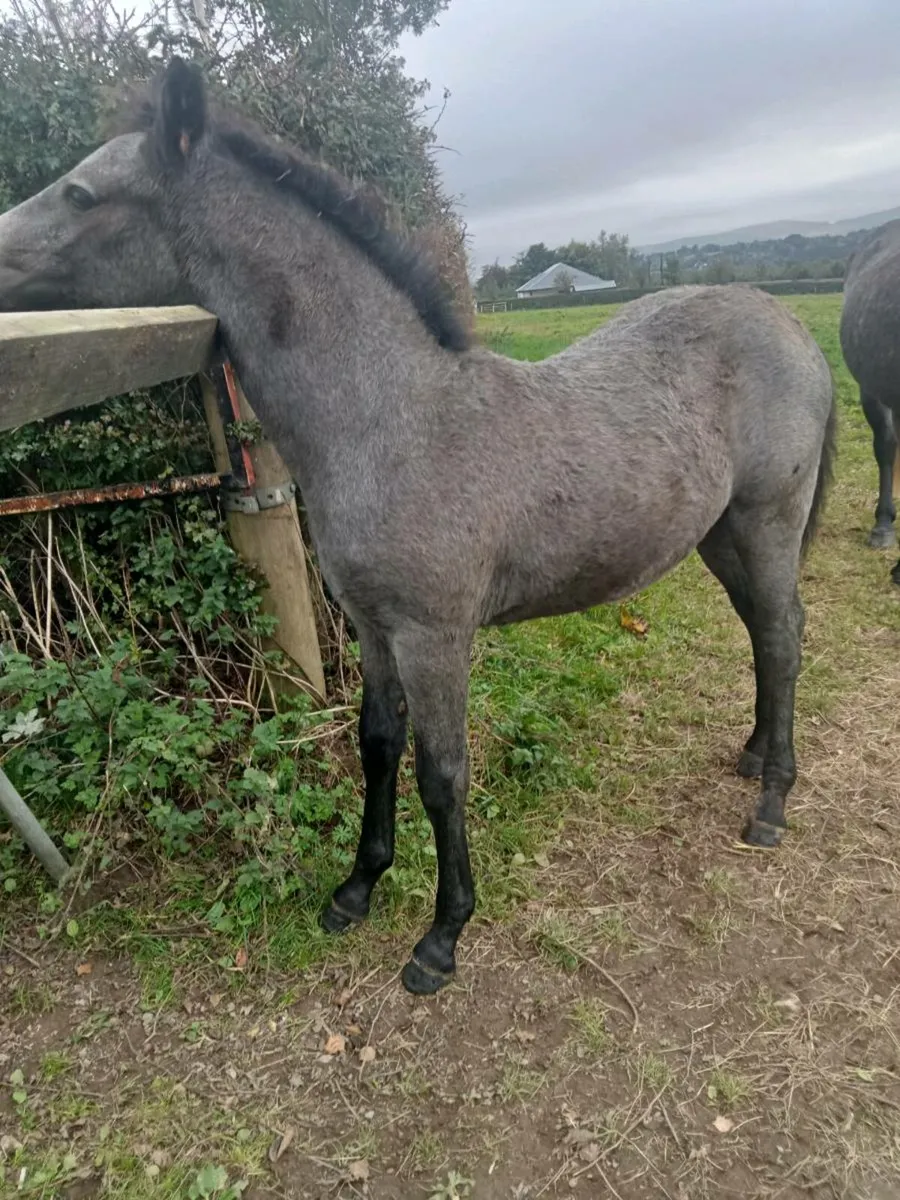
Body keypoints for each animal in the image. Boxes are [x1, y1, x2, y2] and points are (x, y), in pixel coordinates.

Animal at [0, 59, 836, 995]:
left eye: (80, 193)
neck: (389, 418)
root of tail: (789, 324)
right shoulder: (372, 624)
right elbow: (376, 744)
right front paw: (356, 888)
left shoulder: (436, 635)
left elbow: (442, 773)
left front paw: (442, 936)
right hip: (721, 535)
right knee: (762, 632)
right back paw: (754, 755)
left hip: (768, 522)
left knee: (785, 634)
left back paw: (771, 803)